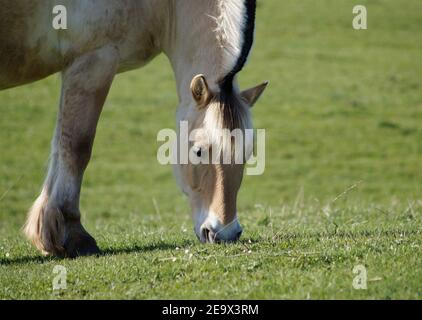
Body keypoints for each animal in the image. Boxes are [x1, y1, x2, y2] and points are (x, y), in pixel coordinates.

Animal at [0, 0, 268, 258]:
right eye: (199, 151)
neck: (163, 5)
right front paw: (75, 235)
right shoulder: (94, 61)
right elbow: (76, 147)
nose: (226, 233)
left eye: (247, 153)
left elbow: (60, 147)